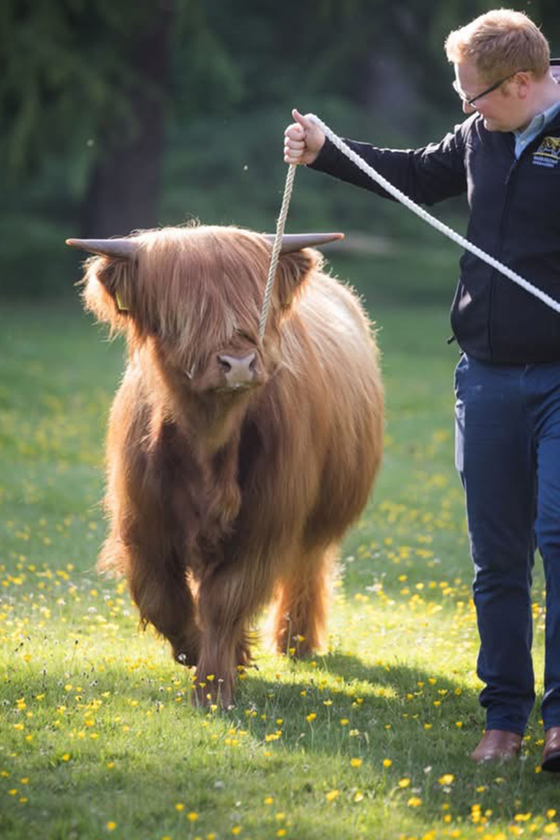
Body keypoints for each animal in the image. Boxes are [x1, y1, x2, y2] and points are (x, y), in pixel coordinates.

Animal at [67, 224, 383, 708]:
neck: (208, 441)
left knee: (308, 565)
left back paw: (295, 642)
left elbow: (224, 602)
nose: (238, 363)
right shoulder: (143, 527)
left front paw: (214, 684)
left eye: (257, 306)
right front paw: (202, 652)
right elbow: (163, 601)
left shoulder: (264, 527)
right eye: (181, 314)